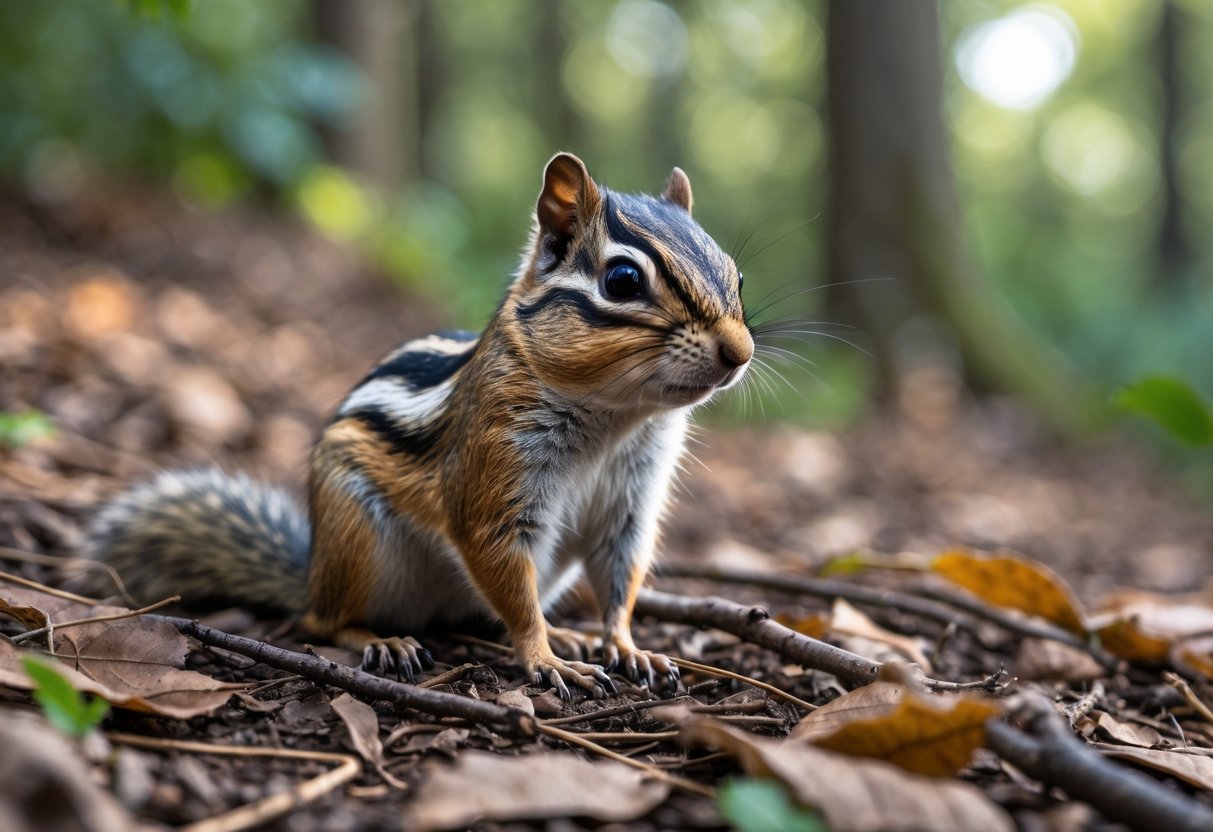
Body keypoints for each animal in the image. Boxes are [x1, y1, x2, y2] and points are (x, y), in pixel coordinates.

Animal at [84, 153, 754, 700]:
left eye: (737, 274)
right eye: (622, 280)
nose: (740, 352)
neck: (615, 418)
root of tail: (310, 574)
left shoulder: (631, 503)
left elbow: (621, 577)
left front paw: (625, 646)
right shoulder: (494, 478)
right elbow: (506, 579)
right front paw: (546, 660)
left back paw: (567, 633)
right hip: (355, 540)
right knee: (320, 622)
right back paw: (383, 640)